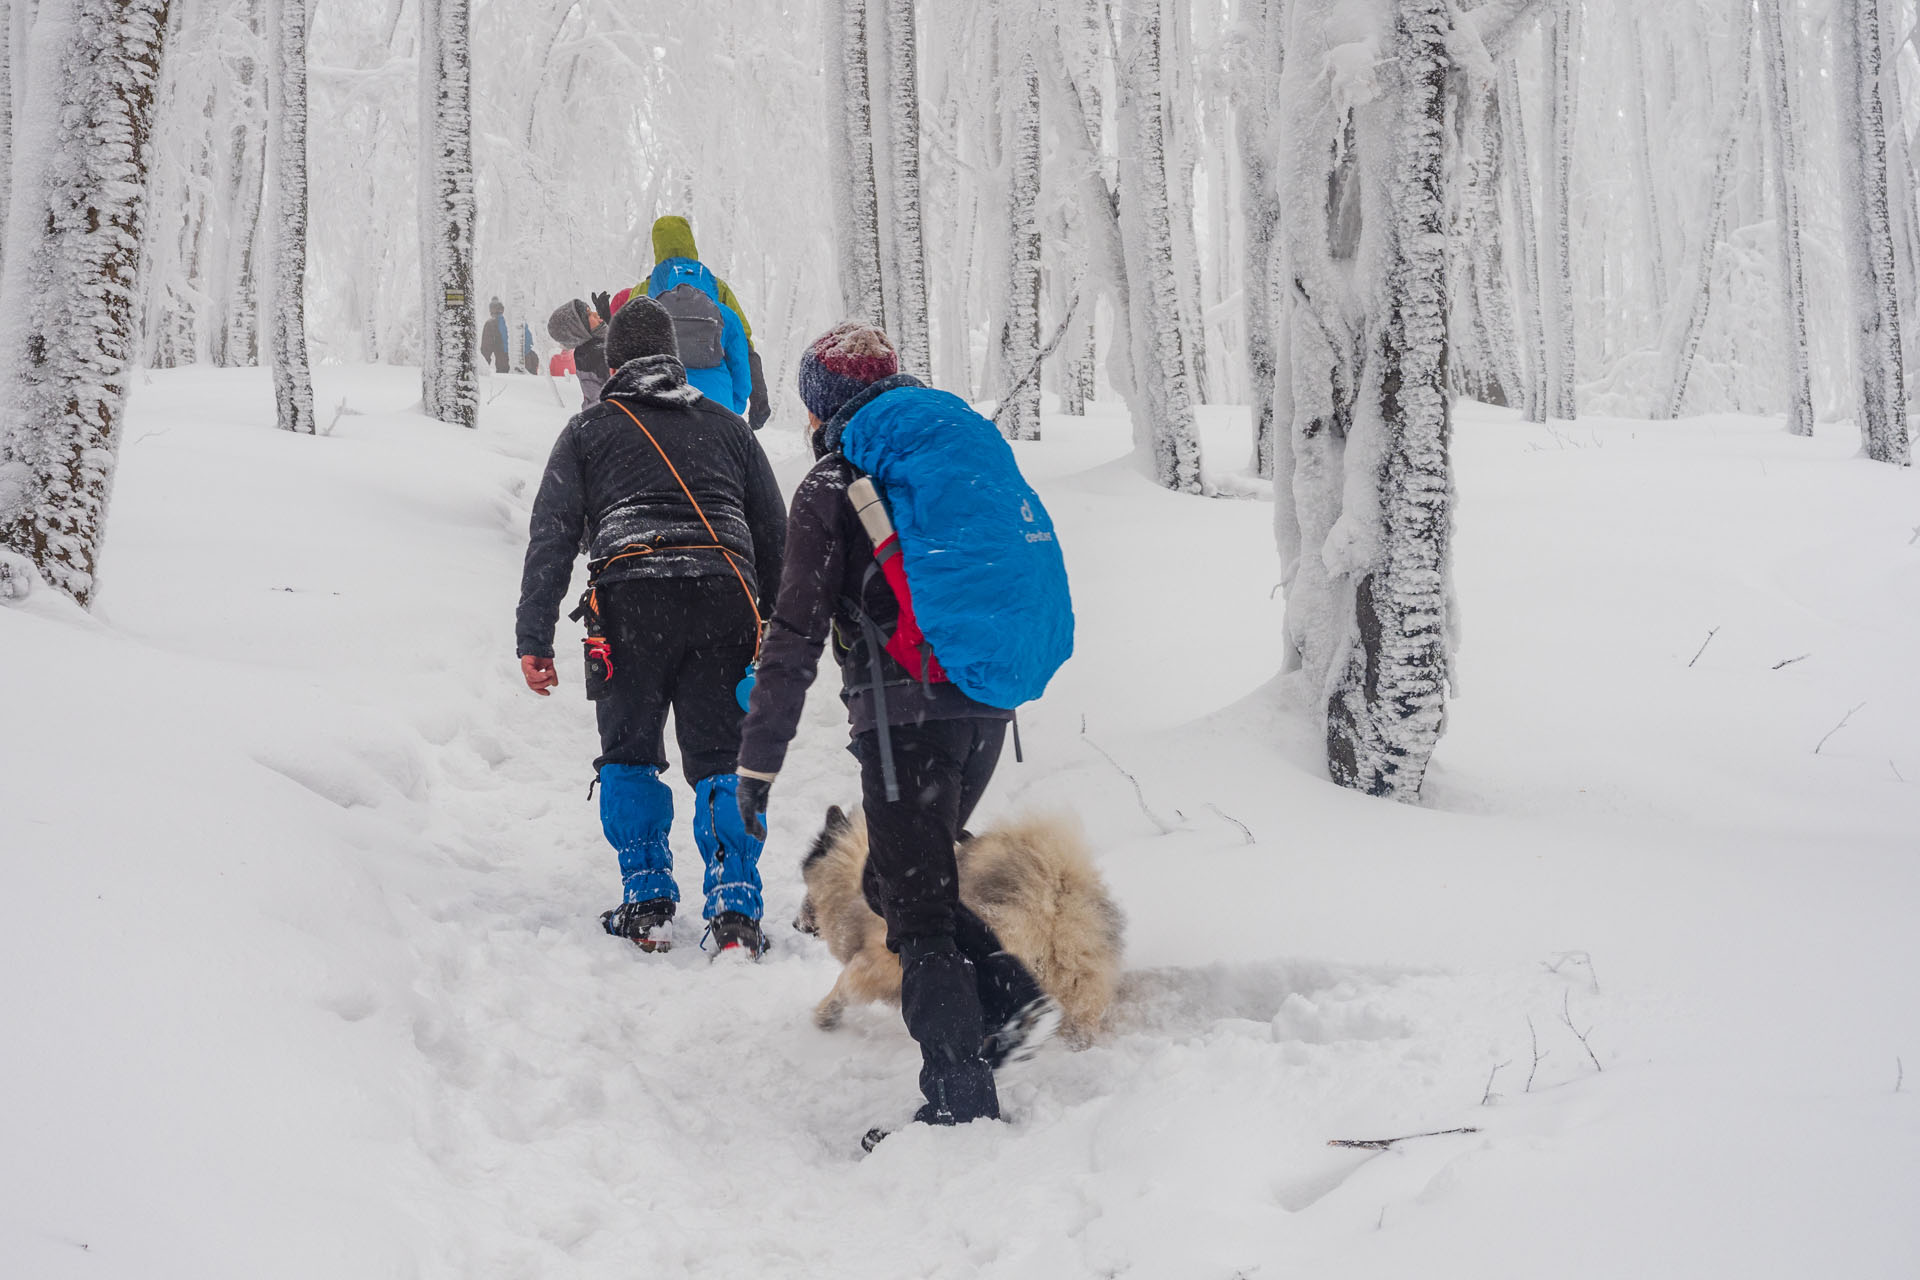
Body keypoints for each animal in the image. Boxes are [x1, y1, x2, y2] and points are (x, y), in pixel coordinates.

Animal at [794, 805, 1125, 1046]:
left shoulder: (884, 959)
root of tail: (1056, 886)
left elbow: (846, 982)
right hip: (1074, 968)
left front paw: (825, 1015)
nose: (795, 924)